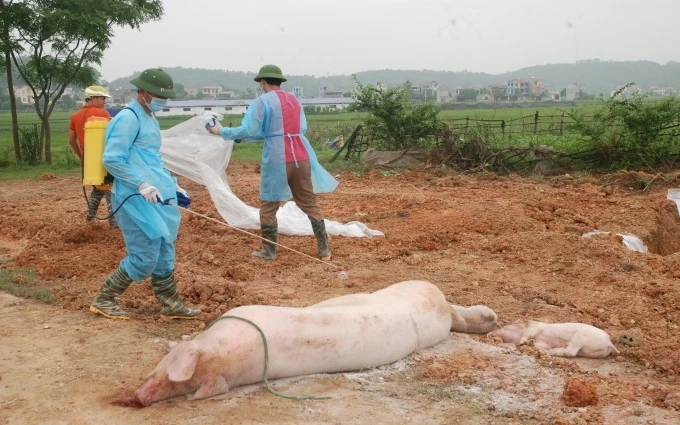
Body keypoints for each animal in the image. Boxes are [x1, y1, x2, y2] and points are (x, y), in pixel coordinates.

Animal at [488, 322, 620, 358]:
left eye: (507, 327)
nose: (490, 333)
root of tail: (609, 342)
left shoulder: (536, 327)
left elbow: (528, 334)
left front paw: (523, 342)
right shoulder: (543, 342)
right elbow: (539, 344)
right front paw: (531, 344)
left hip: (580, 337)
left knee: (571, 352)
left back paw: (551, 352)